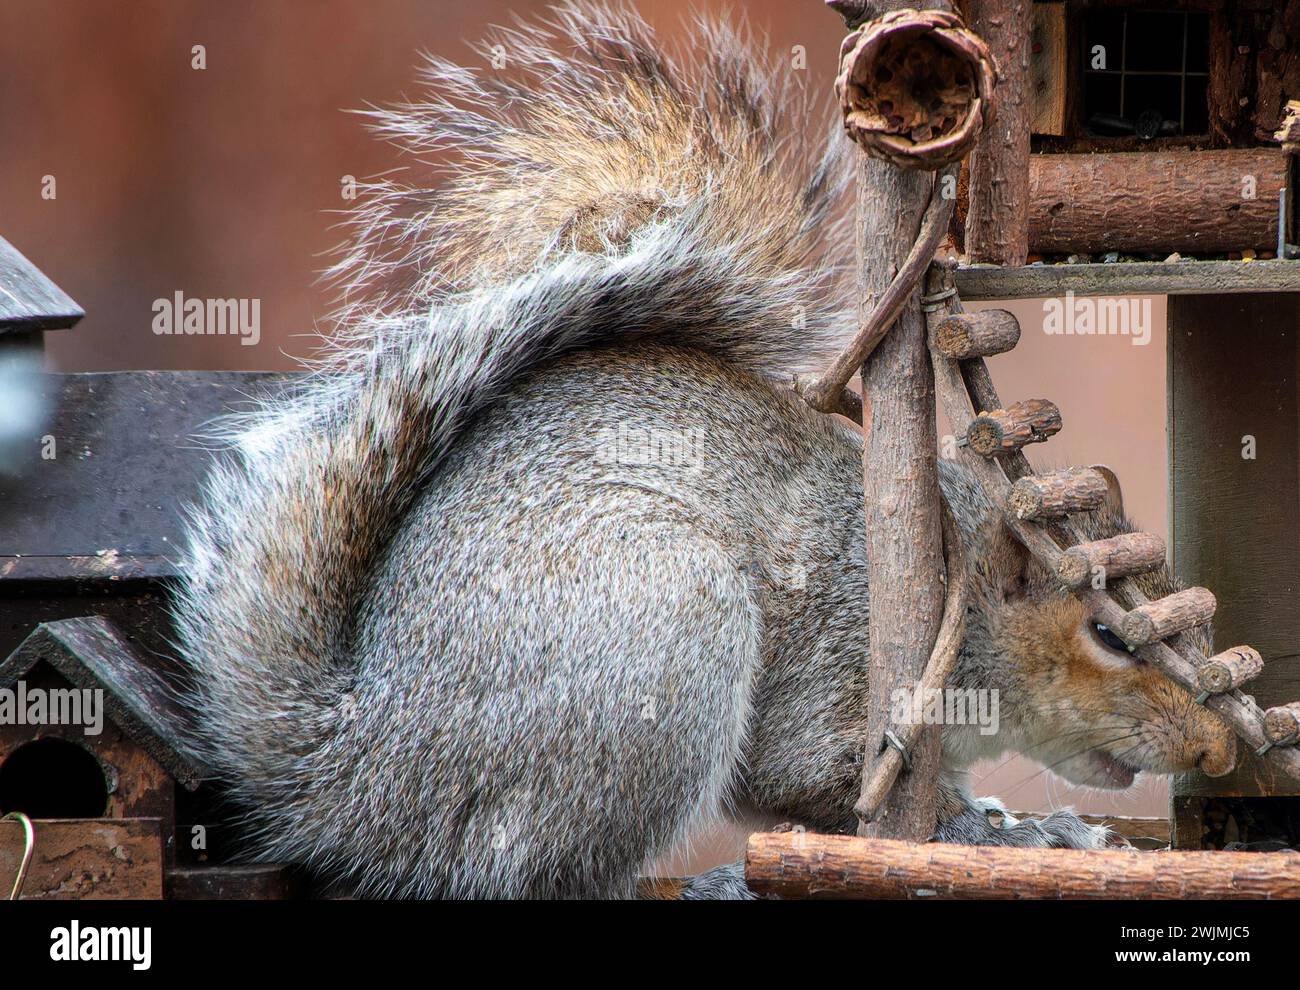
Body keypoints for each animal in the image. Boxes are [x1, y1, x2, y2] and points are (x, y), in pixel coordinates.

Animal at [173, 2, 1236, 899]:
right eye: (1106, 636)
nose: (1221, 755)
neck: (956, 590)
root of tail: (352, 774)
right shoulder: (845, 665)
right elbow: (820, 784)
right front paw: (1016, 836)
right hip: (663, 637)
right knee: (528, 872)